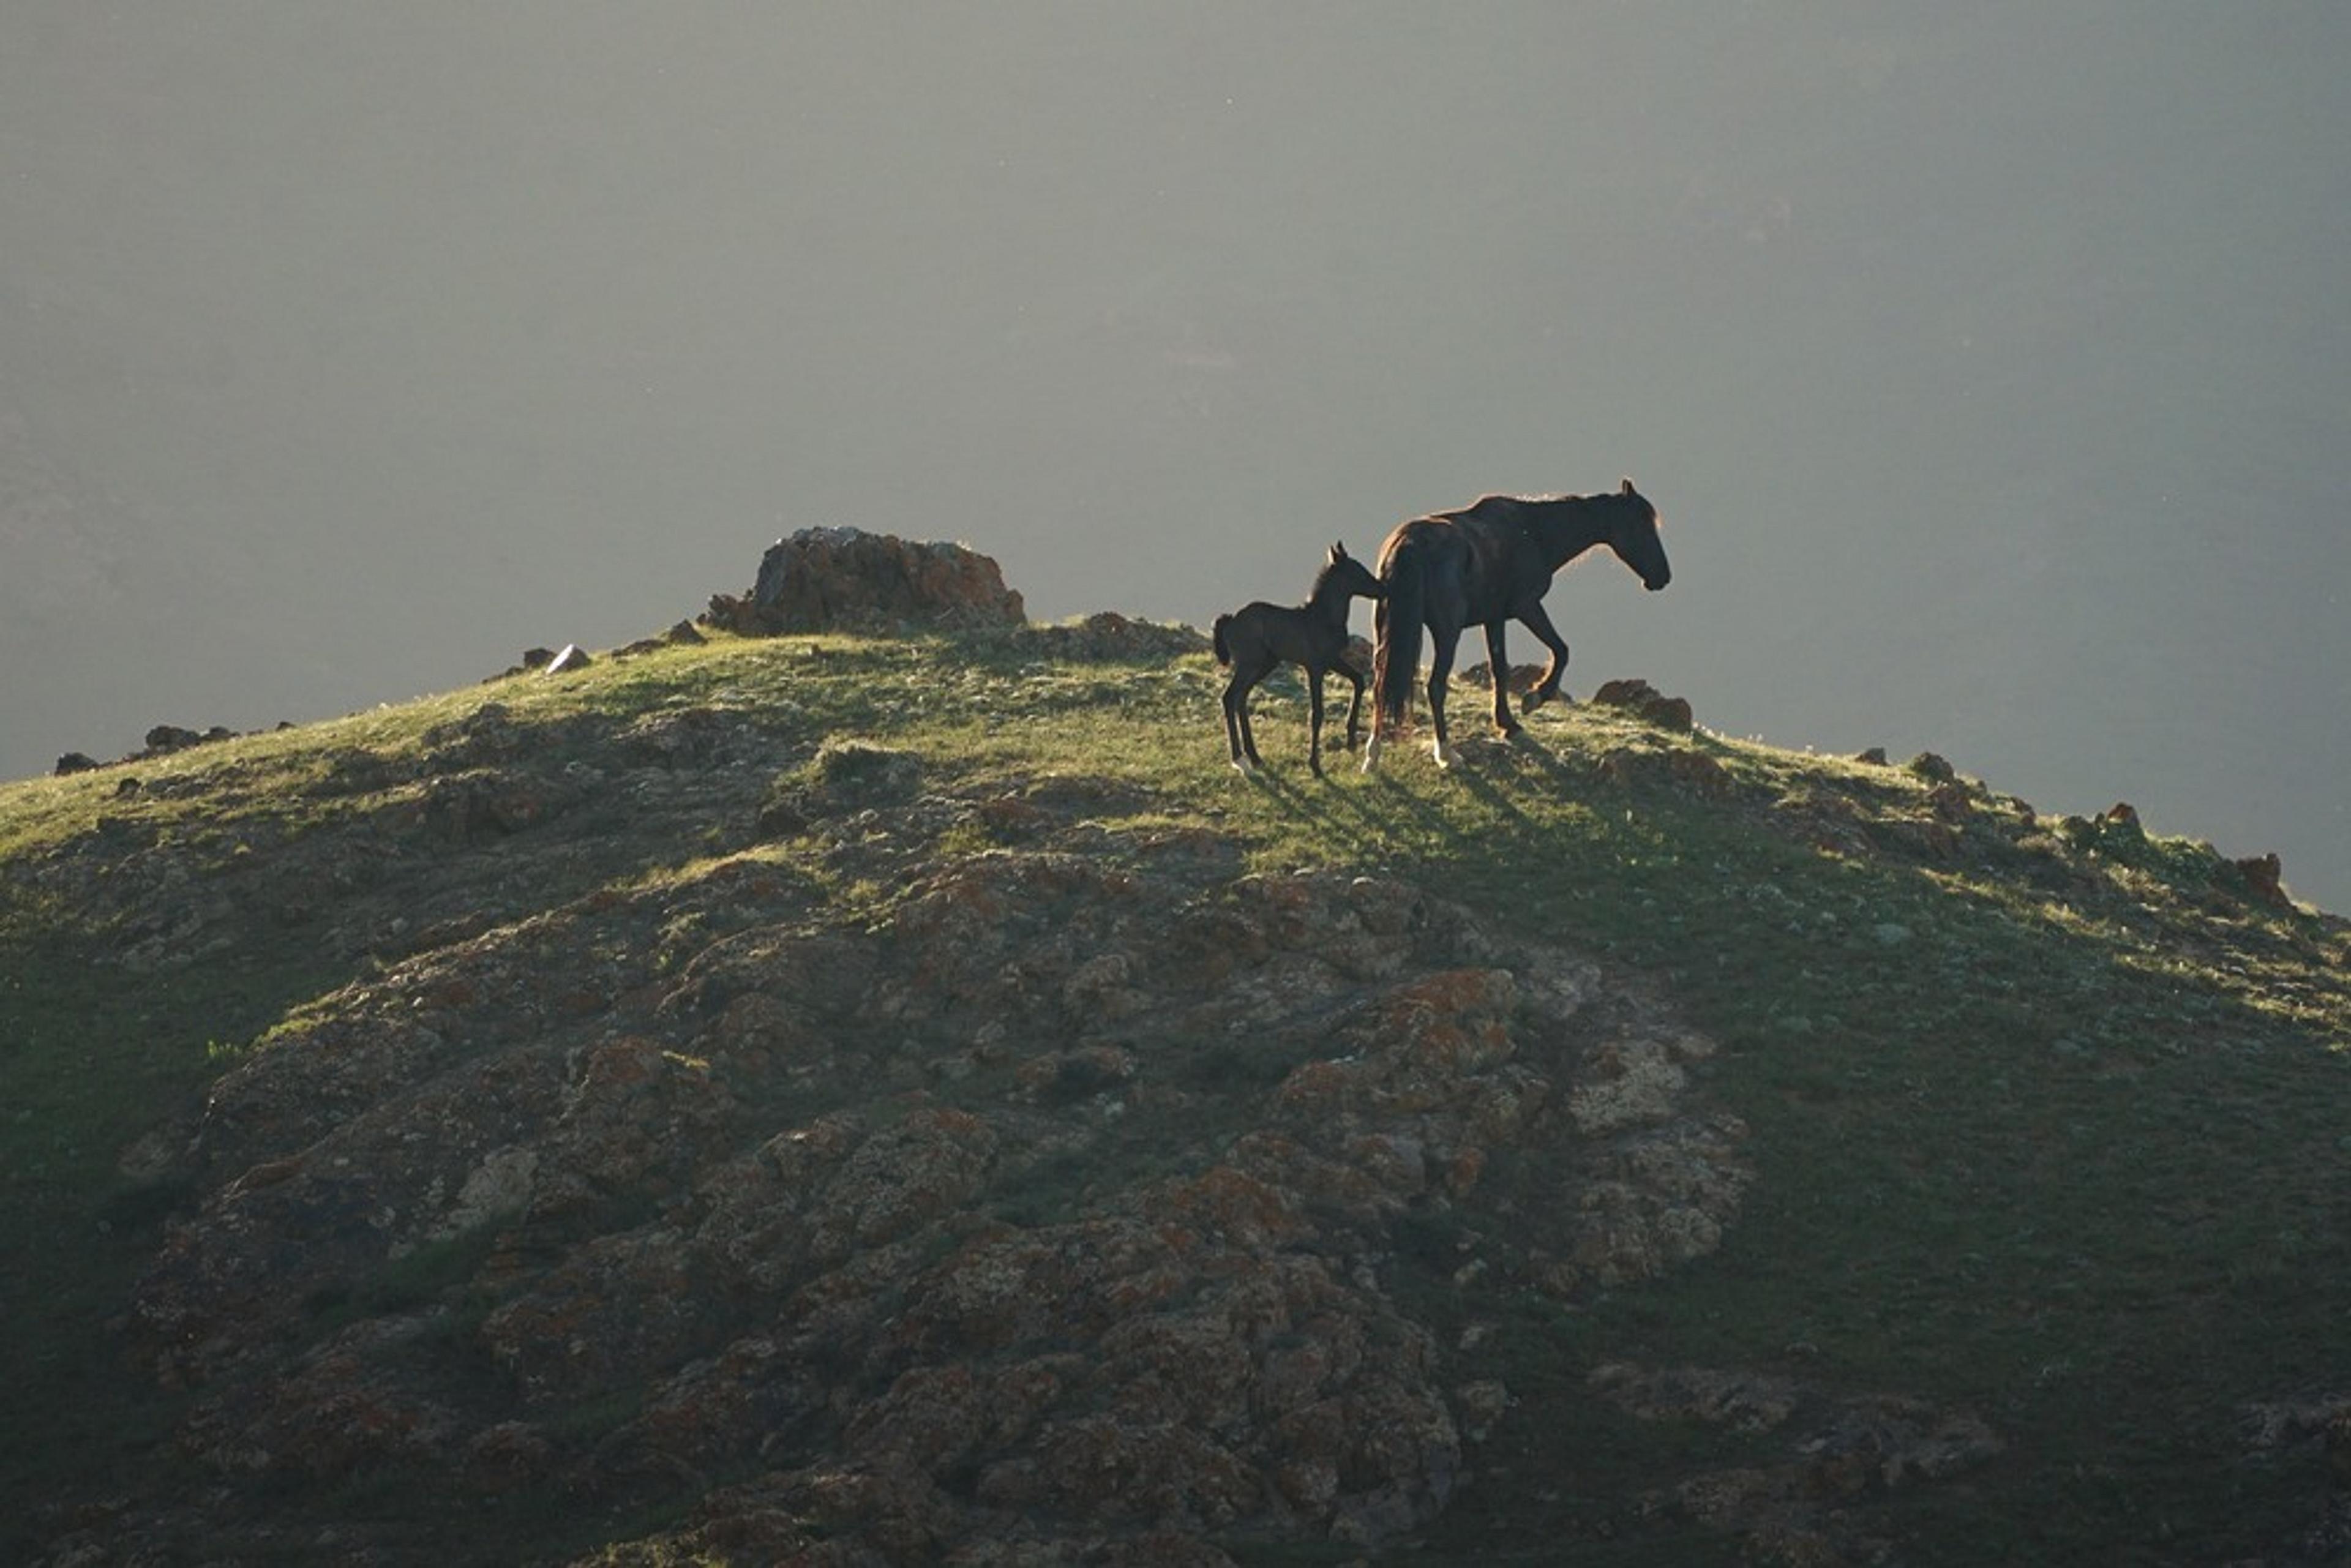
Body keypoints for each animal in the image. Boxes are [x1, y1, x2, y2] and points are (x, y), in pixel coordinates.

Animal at [1213, 541, 1386, 776]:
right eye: (1356, 571)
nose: (1383, 589)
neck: (1323, 618)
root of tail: (1230, 621)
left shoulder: (1332, 660)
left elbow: (1358, 680)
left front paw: (1350, 741)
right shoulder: (1314, 667)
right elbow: (1317, 714)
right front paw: (1315, 765)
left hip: (1265, 665)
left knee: (1241, 698)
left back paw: (1255, 757)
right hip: (1249, 664)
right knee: (1229, 697)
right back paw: (1240, 760)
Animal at [1363, 478, 1670, 771]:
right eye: (1641, 526)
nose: (1663, 577)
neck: (1533, 533)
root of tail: (1408, 545)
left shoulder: (1494, 619)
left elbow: (1500, 669)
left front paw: (1507, 723)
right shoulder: (1527, 607)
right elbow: (1561, 651)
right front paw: (1535, 698)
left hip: (1386, 629)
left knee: (1380, 681)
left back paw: (1373, 755)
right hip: (1447, 633)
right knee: (1436, 687)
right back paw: (1447, 754)